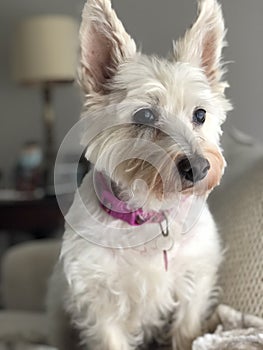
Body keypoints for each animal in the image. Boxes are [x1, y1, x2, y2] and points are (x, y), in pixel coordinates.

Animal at [48, 0, 232, 348]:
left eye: (200, 114)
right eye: (145, 115)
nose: (200, 168)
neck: (150, 212)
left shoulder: (194, 279)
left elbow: (186, 329)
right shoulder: (98, 298)